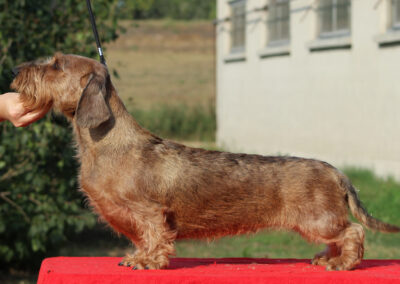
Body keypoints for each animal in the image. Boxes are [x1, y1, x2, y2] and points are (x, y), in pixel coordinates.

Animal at [10, 52, 398, 270]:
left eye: (55, 65)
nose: (14, 70)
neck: (108, 143)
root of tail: (337, 172)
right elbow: (142, 239)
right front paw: (138, 257)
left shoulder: (149, 212)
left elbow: (154, 236)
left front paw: (148, 262)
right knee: (342, 235)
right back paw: (329, 258)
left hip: (318, 219)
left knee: (354, 231)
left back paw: (343, 263)